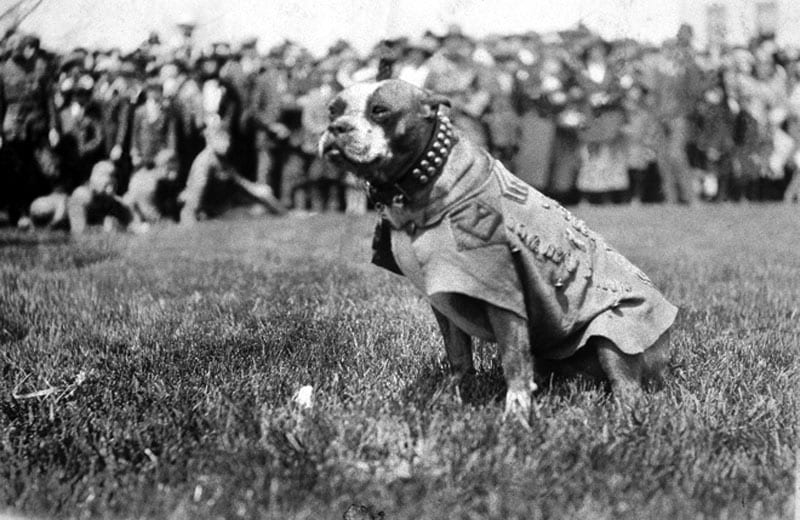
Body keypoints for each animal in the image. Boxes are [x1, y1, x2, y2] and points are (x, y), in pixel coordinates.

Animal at [318, 80, 676, 422]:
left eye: (380, 111)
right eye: (333, 110)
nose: (337, 127)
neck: (425, 181)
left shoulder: (503, 298)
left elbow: (513, 360)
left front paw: (516, 415)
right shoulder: (443, 298)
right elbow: (459, 357)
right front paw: (448, 396)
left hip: (616, 332)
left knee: (626, 384)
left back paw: (626, 415)